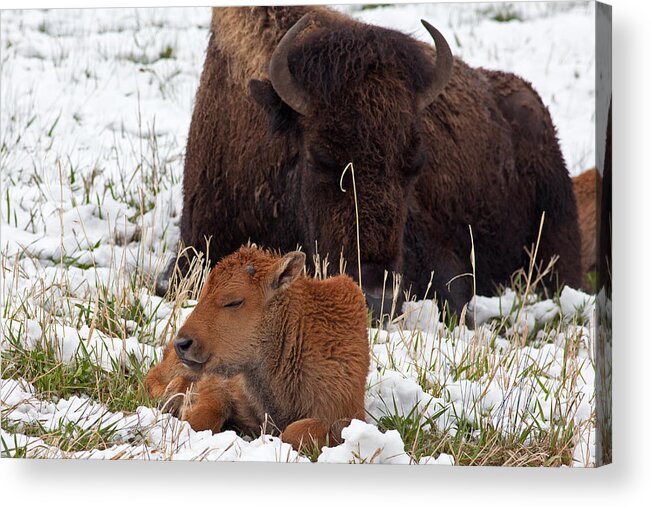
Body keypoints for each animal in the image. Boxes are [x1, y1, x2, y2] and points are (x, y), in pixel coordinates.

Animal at [148, 247, 372, 452]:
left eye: (234, 302)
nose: (182, 344)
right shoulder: (219, 383)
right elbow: (206, 413)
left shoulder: (344, 415)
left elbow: (295, 432)